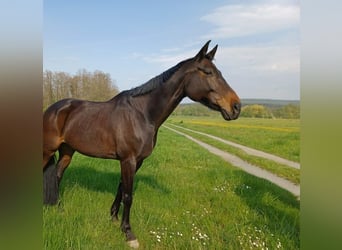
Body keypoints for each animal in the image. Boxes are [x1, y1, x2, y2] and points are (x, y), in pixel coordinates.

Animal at [43, 40, 240, 247]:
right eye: (208, 72)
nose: (236, 107)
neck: (143, 114)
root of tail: (52, 109)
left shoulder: (136, 161)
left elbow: (121, 189)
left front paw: (114, 218)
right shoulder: (127, 160)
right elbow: (128, 196)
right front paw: (129, 233)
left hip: (67, 151)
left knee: (56, 176)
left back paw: (58, 207)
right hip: (47, 150)